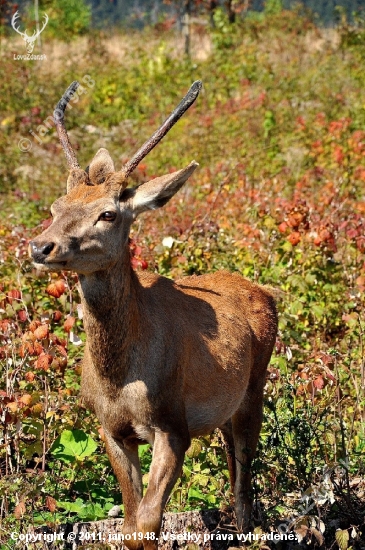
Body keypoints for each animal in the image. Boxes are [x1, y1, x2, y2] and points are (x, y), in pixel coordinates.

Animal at [29, 80, 278, 548]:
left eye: (108, 213)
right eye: (55, 206)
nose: (40, 245)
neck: (121, 380)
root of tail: (265, 292)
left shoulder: (172, 423)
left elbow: (147, 523)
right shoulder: (110, 429)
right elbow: (129, 525)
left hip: (255, 387)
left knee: (244, 480)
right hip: (224, 409)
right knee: (232, 465)